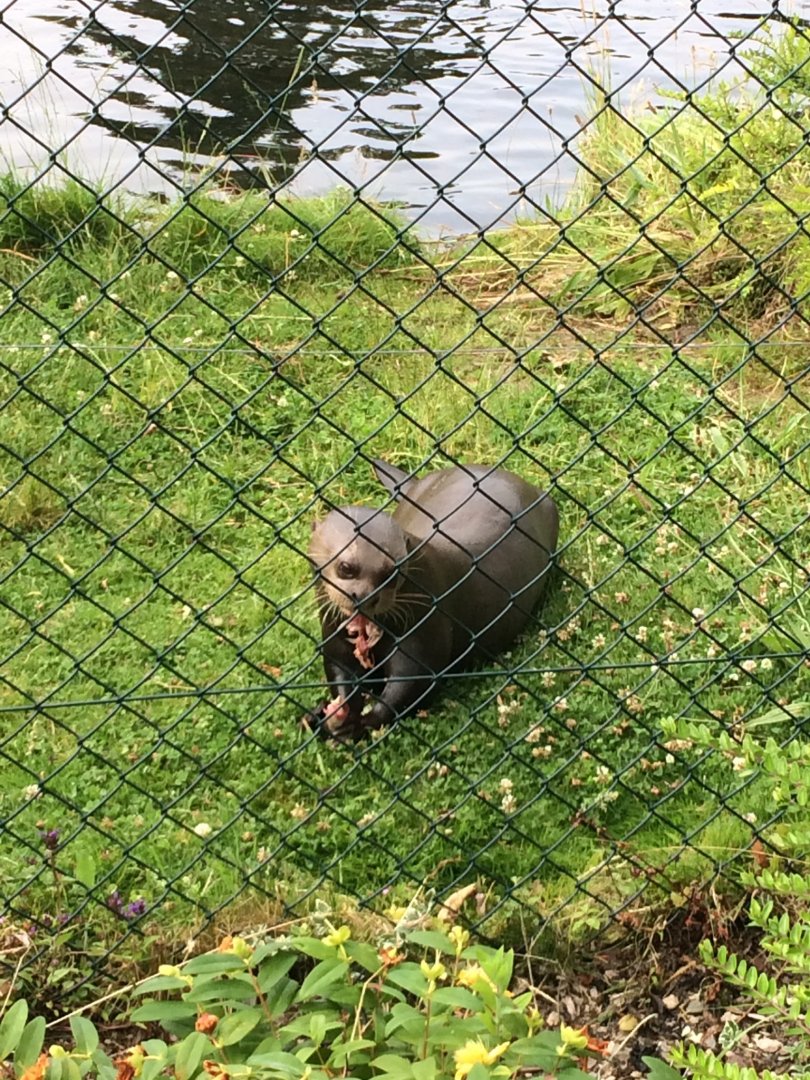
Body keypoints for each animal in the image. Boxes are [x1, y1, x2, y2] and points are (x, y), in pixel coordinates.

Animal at [307, 459, 559, 738]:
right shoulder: (332, 631)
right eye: (346, 567)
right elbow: (339, 669)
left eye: (391, 573)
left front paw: (360, 723)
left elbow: (413, 680)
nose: (366, 597)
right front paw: (335, 714)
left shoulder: (427, 622)